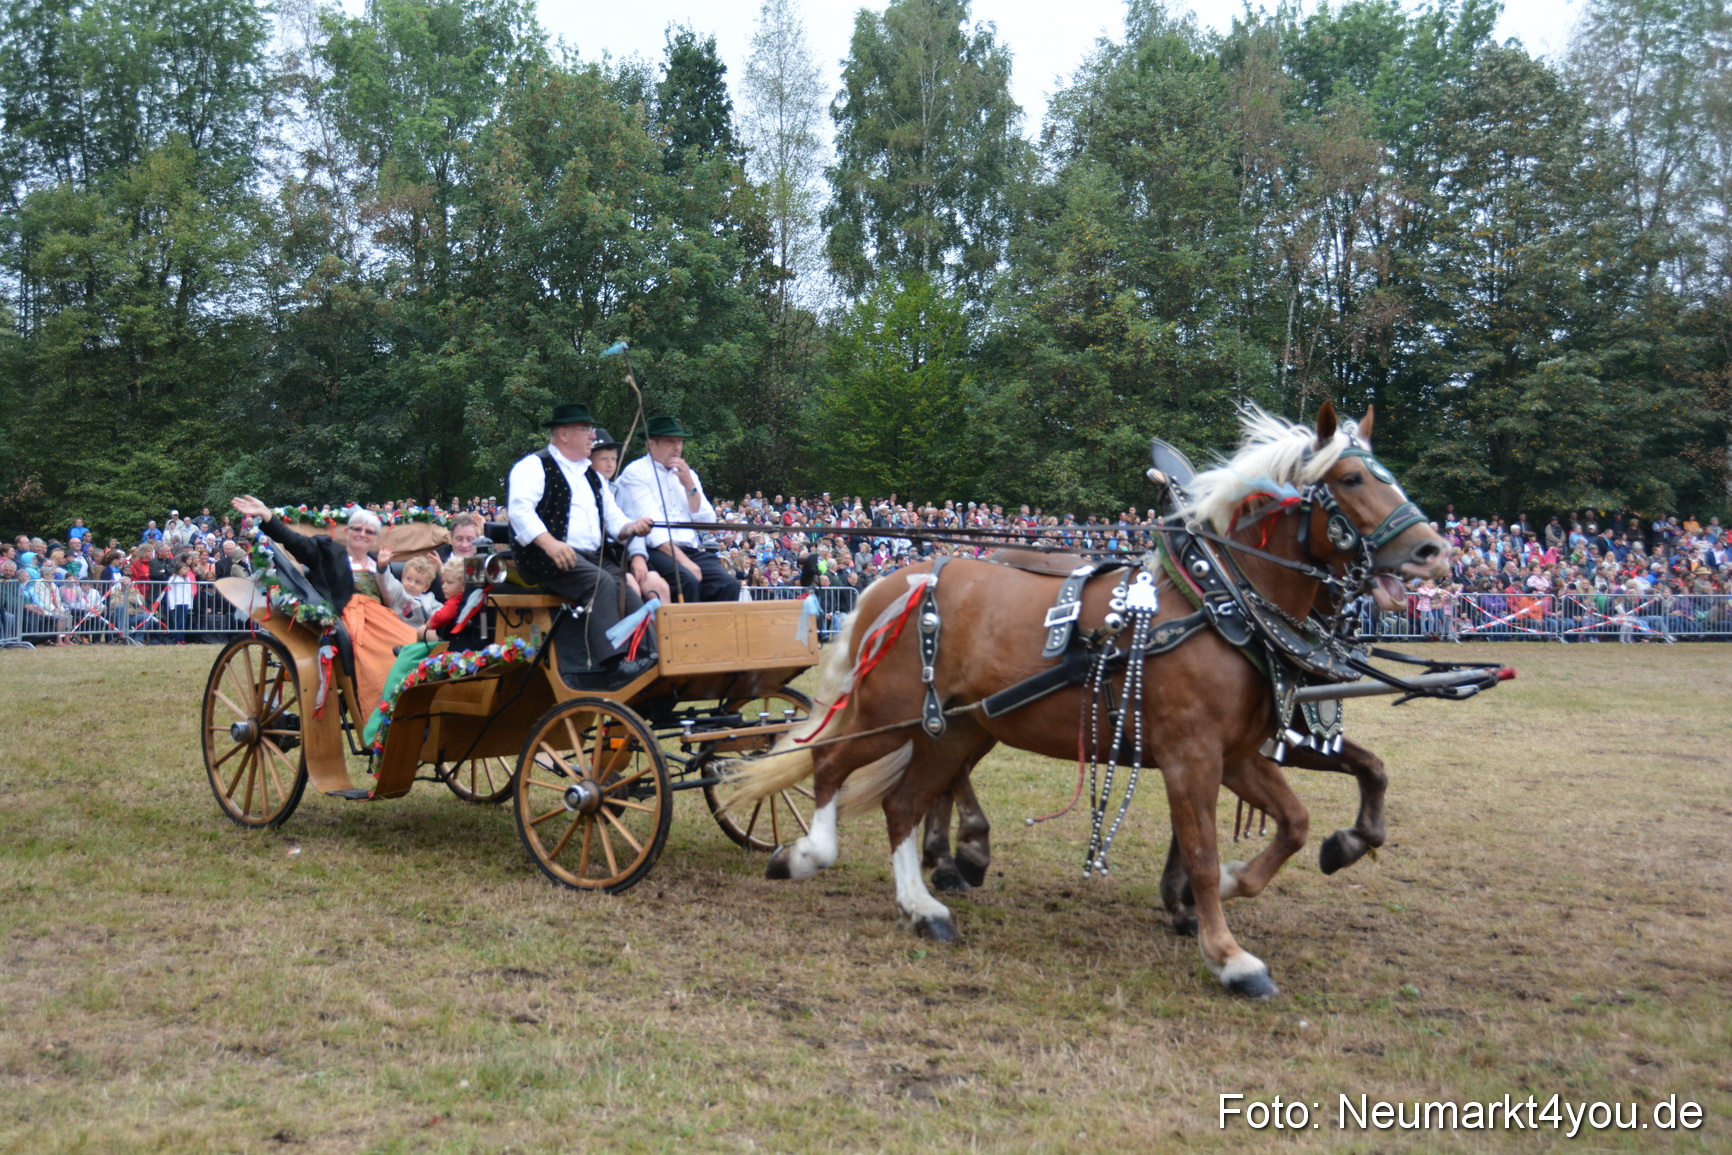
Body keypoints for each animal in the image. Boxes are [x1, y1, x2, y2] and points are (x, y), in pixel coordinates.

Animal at [721, 402, 1447, 997]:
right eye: (1351, 479)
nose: (1433, 550)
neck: (1219, 604)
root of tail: (901, 577)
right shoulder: (1191, 756)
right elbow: (1203, 851)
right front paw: (1228, 953)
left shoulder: (1239, 754)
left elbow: (1296, 821)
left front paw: (1255, 878)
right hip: (887, 711)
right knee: (829, 765)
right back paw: (810, 854)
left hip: (955, 727)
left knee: (905, 802)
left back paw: (924, 904)